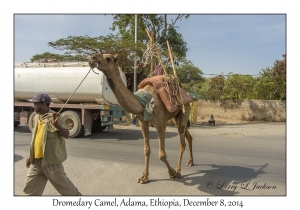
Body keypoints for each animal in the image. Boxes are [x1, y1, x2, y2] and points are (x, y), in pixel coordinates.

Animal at [88, 53, 193, 183]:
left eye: (108, 59)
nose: (92, 58)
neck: (143, 102)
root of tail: (185, 93)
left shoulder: (160, 124)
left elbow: (162, 154)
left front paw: (172, 173)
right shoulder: (143, 122)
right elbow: (146, 150)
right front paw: (144, 177)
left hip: (186, 107)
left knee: (182, 141)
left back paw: (178, 170)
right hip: (176, 117)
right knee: (187, 135)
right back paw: (190, 162)